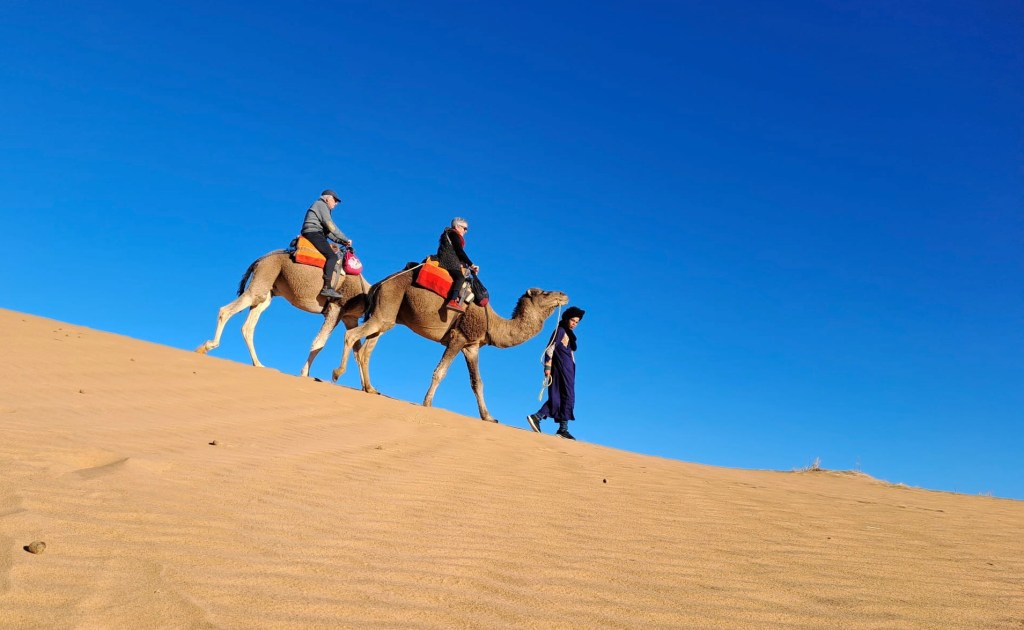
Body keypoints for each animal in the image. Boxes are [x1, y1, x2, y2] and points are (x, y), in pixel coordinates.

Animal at [196, 251, 371, 377]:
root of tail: (260, 259)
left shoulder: (350, 318)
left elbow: (358, 351)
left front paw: (369, 388)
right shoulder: (335, 309)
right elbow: (319, 343)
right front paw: (305, 374)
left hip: (268, 290)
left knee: (248, 326)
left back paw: (258, 364)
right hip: (264, 276)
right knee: (226, 310)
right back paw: (206, 346)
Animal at [332, 266, 569, 422]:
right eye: (545, 293)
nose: (564, 295)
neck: (492, 322)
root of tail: (380, 283)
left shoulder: (471, 346)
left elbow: (477, 383)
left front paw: (488, 417)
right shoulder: (458, 337)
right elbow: (440, 372)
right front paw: (427, 403)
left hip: (389, 314)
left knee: (367, 348)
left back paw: (370, 388)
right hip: (387, 306)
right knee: (352, 336)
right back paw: (337, 373)